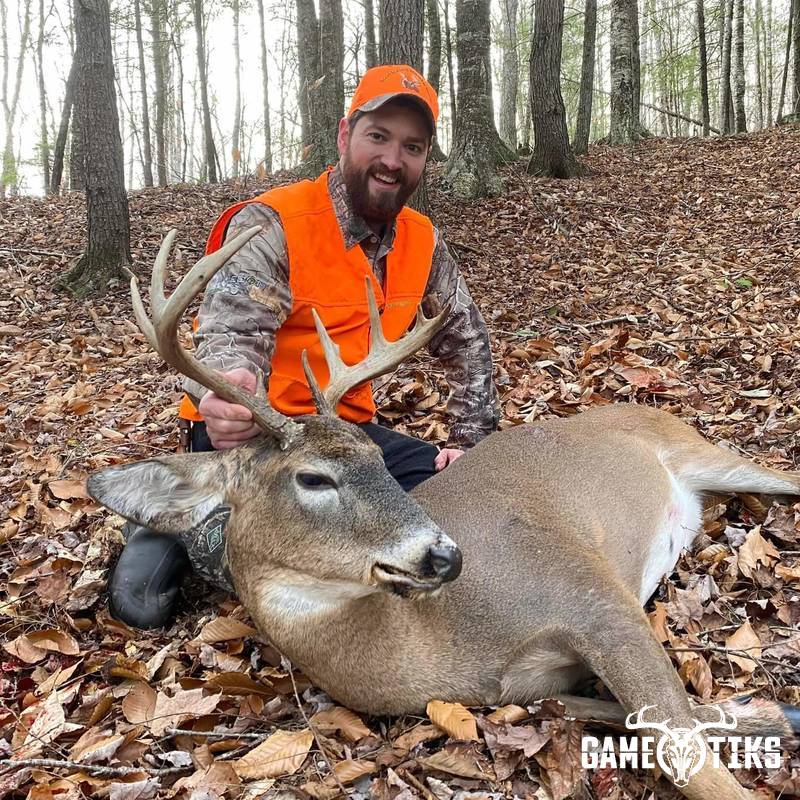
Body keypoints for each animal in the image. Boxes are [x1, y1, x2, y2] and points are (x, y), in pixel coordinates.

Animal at [88, 226, 800, 800]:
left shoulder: (591, 592)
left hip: (707, 458)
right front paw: (769, 711)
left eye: (377, 456)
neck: (429, 643)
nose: (445, 553)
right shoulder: (523, 689)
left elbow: (692, 763)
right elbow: (641, 719)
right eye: (313, 478)